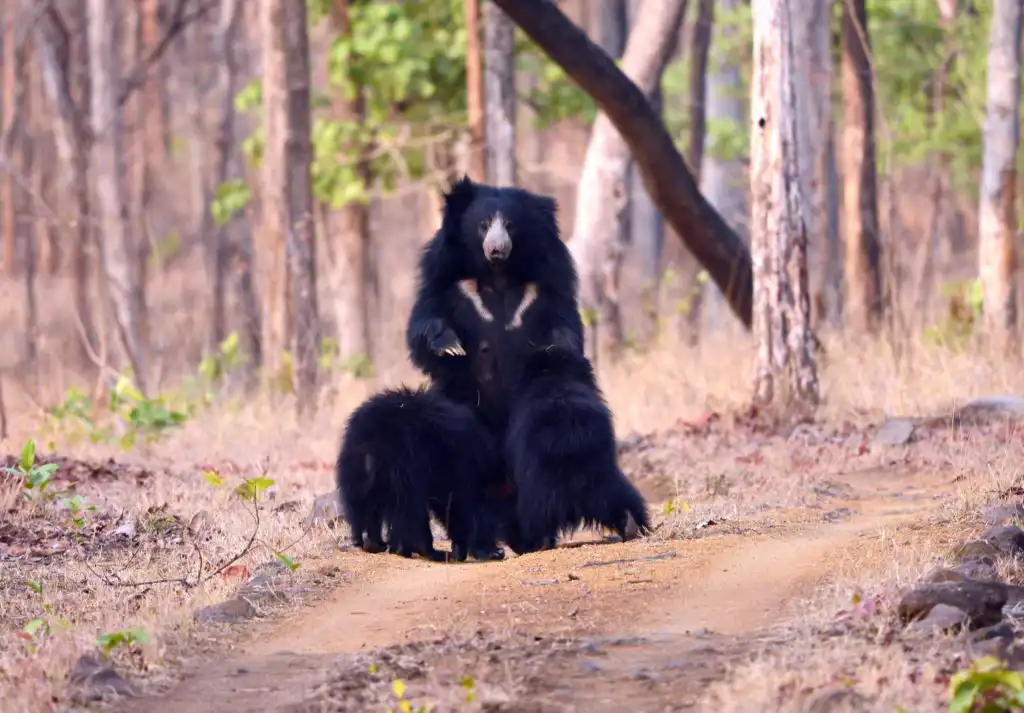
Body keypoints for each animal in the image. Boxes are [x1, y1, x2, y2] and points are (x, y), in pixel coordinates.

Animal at [335, 385, 507, 562]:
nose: (501, 551)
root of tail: (372, 443)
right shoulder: (456, 466)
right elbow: (462, 505)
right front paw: (485, 550)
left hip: (355, 470)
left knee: (363, 504)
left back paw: (372, 542)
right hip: (405, 464)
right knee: (410, 509)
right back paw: (425, 550)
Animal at [405, 175, 584, 437]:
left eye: (510, 225)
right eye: (484, 224)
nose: (497, 249)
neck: (498, 273)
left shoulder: (546, 283)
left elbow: (564, 321)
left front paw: (557, 347)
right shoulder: (446, 278)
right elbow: (426, 318)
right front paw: (450, 346)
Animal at [503, 345, 651, 554]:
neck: (556, 375)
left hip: (541, 486)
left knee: (535, 515)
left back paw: (538, 542)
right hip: (604, 476)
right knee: (625, 498)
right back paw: (632, 526)